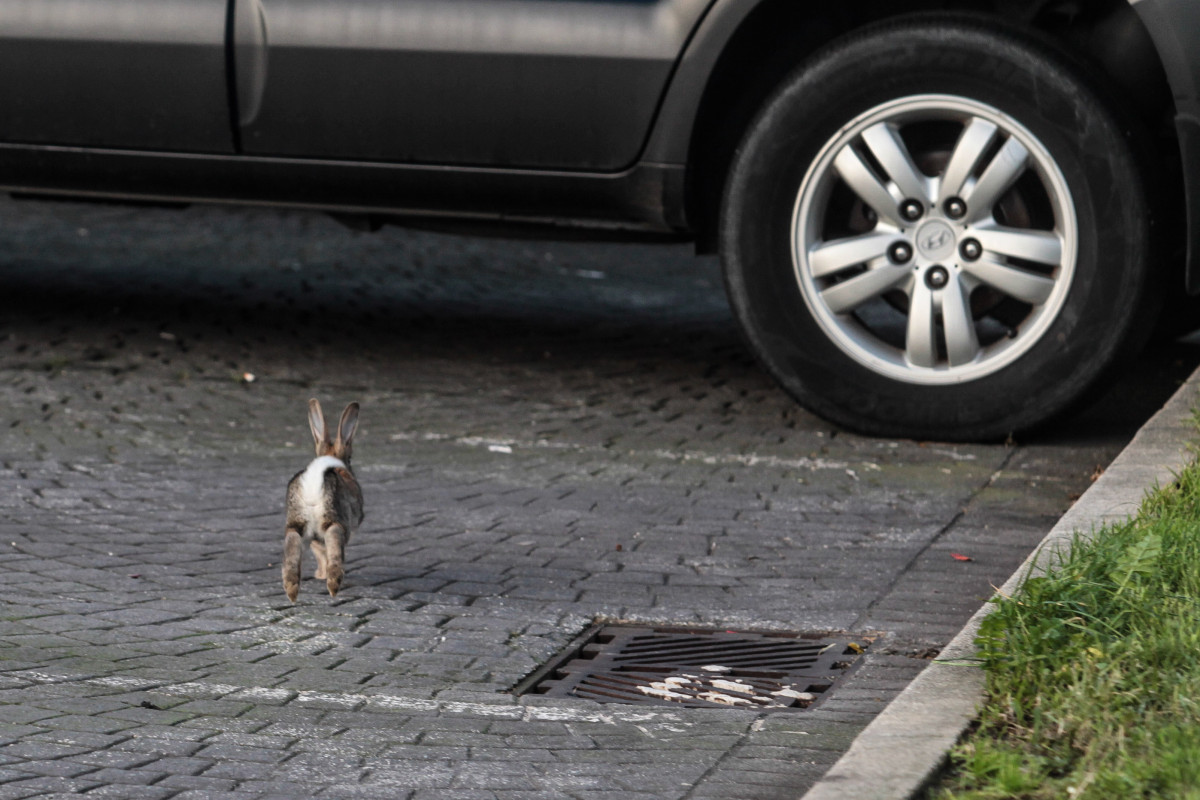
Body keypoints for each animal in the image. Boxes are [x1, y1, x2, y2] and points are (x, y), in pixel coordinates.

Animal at [283, 400, 362, 599]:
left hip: (296, 521)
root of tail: (314, 481)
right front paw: (322, 575)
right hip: (334, 519)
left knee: (292, 543)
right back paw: (333, 584)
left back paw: (291, 590)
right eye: (350, 458)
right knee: (333, 542)